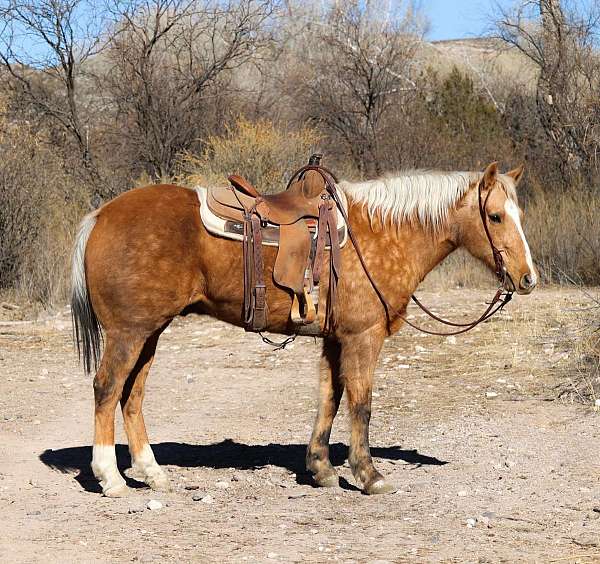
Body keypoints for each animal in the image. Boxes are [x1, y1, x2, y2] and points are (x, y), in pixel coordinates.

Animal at [72, 161, 536, 496]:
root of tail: (100, 216)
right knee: (107, 389)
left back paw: (152, 473)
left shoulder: (335, 339)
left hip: (149, 333)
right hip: (129, 333)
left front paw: (321, 469)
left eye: (519, 215)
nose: (527, 278)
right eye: (495, 216)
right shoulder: (363, 337)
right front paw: (369, 475)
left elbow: (329, 398)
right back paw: (110, 478)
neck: (380, 234)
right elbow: (361, 404)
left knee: (132, 395)